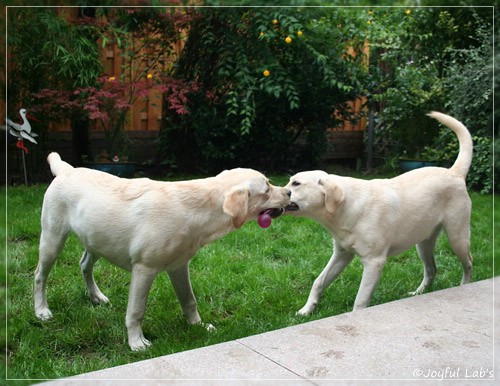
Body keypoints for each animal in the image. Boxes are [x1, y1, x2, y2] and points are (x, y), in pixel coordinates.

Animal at [35, 153, 292, 350]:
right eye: (267, 187)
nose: (289, 192)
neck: (198, 209)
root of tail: (67, 169)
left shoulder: (179, 267)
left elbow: (189, 300)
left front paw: (198, 326)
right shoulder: (144, 269)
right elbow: (136, 310)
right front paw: (137, 343)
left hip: (97, 239)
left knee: (84, 265)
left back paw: (96, 296)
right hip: (52, 238)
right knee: (40, 275)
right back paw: (41, 311)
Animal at [286, 111, 472, 314]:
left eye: (296, 183)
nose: (276, 190)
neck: (346, 207)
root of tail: (454, 172)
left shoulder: (374, 262)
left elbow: (360, 301)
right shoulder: (342, 254)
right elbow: (318, 282)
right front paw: (306, 309)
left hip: (457, 238)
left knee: (469, 264)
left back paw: (464, 286)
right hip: (423, 243)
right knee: (432, 270)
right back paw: (418, 292)